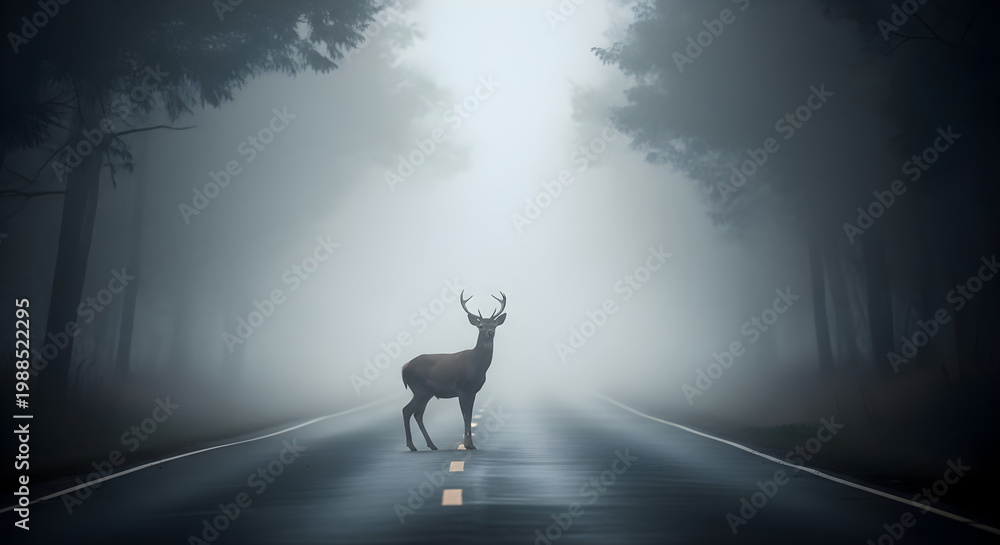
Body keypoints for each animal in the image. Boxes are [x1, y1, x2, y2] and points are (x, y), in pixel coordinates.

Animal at [401, 290, 506, 451]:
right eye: (480, 326)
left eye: (494, 325)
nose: (490, 332)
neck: (476, 366)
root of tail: (403, 368)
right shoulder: (462, 389)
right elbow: (465, 416)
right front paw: (467, 444)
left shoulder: (473, 391)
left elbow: (469, 415)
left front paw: (472, 444)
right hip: (419, 389)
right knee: (410, 412)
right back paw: (414, 445)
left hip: (424, 392)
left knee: (413, 413)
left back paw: (428, 445)